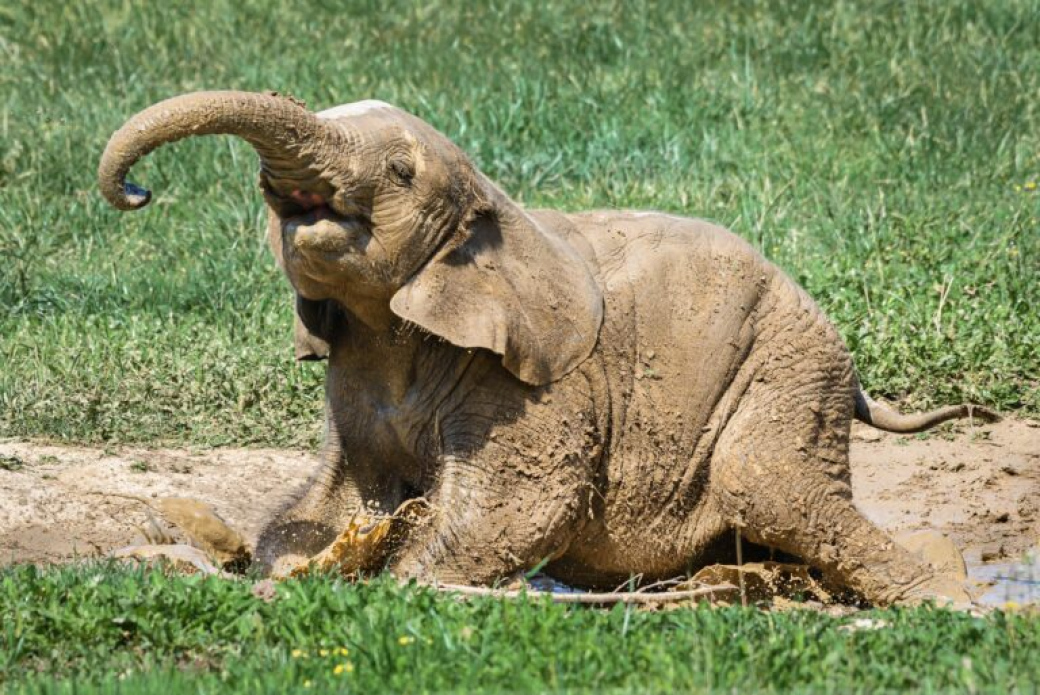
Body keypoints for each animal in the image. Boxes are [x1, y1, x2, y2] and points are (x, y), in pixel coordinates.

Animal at [99, 91, 998, 603]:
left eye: (399, 172)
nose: (138, 190)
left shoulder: (537, 383)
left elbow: (522, 504)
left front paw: (397, 584)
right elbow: (336, 499)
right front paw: (295, 568)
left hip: (788, 372)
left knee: (772, 487)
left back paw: (940, 593)